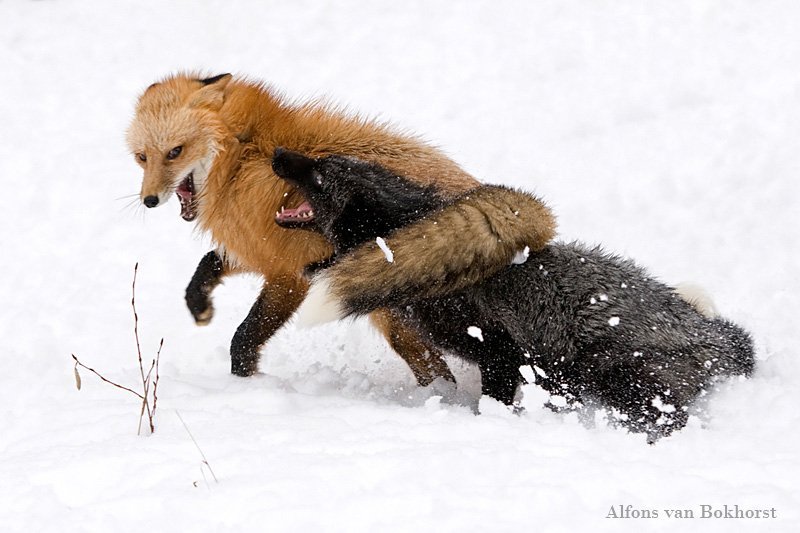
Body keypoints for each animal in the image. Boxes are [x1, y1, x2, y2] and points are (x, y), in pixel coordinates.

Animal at [130, 72, 556, 384]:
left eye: (175, 152)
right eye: (142, 157)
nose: (149, 199)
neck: (244, 154)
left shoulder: (289, 275)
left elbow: (244, 339)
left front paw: (245, 386)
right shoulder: (262, 250)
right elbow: (209, 264)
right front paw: (199, 304)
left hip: (410, 324)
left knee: (444, 374)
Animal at [272, 148, 752, 438]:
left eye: (319, 173)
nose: (278, 154)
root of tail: (722, 340)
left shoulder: (501, 351)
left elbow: (493, 400)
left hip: (618, 380)